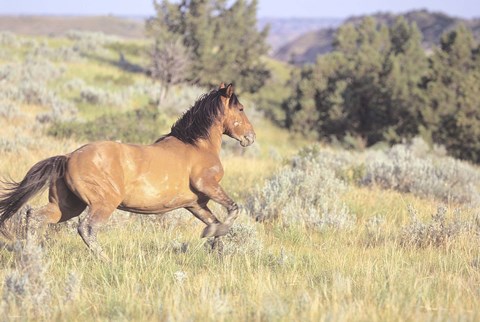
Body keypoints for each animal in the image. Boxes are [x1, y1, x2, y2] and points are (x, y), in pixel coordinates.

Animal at [0, 83, 255, 260]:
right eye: (241, 108)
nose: (250, 137)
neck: (197, 145)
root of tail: (69, 157)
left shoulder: (195, 203)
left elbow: (215, 222)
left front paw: (216, 250)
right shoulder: (208, 185)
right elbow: (233, 210)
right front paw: (212, 236)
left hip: (67, 205)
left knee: (35, 216)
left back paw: (30, 253)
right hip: (103, 203)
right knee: (86, 228)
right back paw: (105, 260)